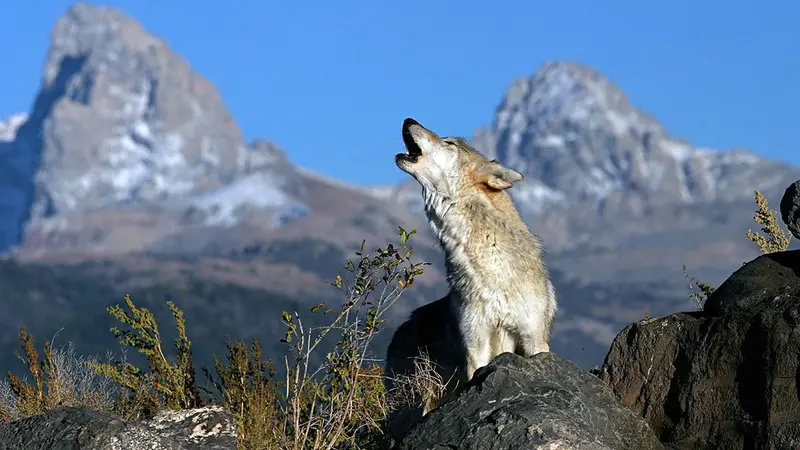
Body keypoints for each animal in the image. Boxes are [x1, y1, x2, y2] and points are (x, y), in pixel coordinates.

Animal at [383, 117, 558, 441]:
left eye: (449, 142)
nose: (409, 120)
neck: (491, 271)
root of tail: (400, 330)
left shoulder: (533, 339)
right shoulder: (476, 344)